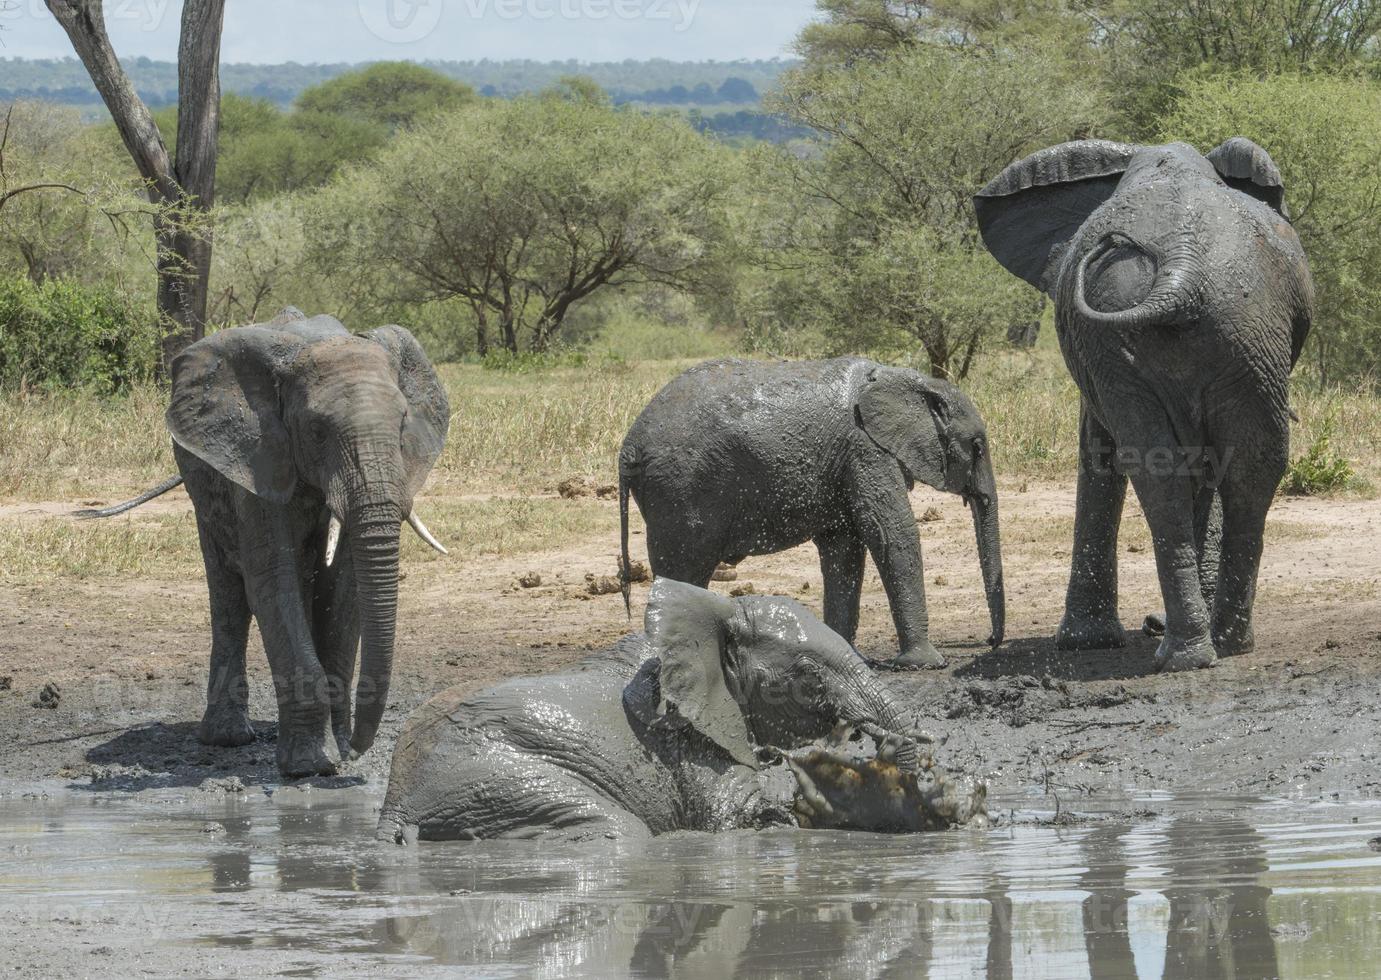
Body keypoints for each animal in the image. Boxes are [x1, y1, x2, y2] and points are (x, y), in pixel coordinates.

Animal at [83, 310, 450, 778]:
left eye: (403, 424)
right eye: (317, 431)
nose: (354, 748)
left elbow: (344, 589)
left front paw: (334, 752)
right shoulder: (257, 455)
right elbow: (272, 581)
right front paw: (310, 767)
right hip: (205, 486)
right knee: (228, 593)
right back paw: (227, 738)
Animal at [378, 579, 983, 850]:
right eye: (808, 677)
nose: (892, 747)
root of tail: (395, 804)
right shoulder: (689, 740)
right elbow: (732, 819)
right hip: (498, 784)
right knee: (617, 831)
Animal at [618, 356, 1005, 670]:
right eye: (977, 447)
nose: (990, 641)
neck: (910, 379)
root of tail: (629, 446)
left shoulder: (849, 461)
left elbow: (845, 549)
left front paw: (845, 658)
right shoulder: (866, 450)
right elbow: (891, 531)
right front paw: (925, 664)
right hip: (680, 490)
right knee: (684, 571)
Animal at [977, 140, 1309, 676]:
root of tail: (1181, 271)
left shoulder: (1100, 359)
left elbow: (1100, 448)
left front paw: (1083, 643)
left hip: (1224, 328)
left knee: (1169, 468)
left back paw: (1190, 649)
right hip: (1244, 330)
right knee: (1244, 466)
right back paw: (1216, 646)